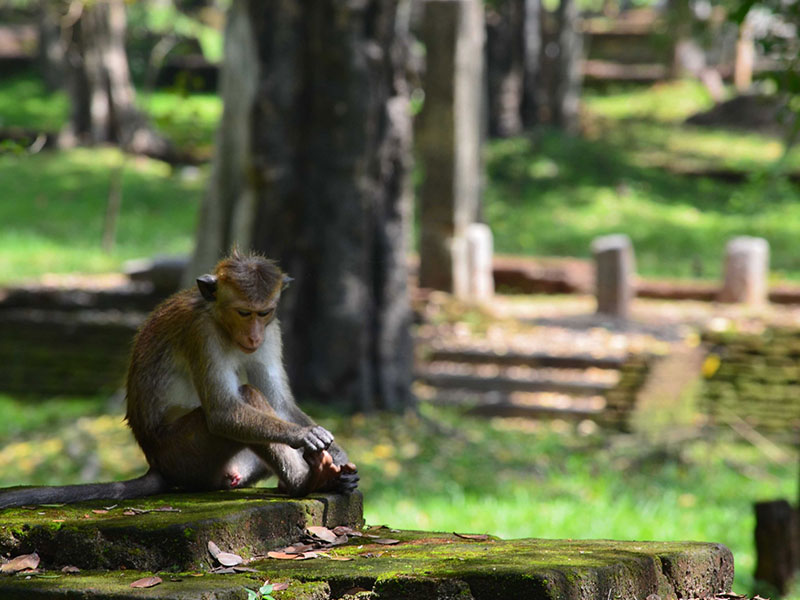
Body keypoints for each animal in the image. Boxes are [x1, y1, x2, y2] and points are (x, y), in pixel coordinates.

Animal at [0, 251, 356, 508]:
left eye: (264, 312)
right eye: (244, 312)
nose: (253, 336)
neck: (219, 320)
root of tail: (157, 463)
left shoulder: (272, 332)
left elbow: (280, 402)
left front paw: (338, 453)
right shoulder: (201, 334)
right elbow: (223, 413)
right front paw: (304, 435)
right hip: (186, 453)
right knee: (246, 396)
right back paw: (304, 482)